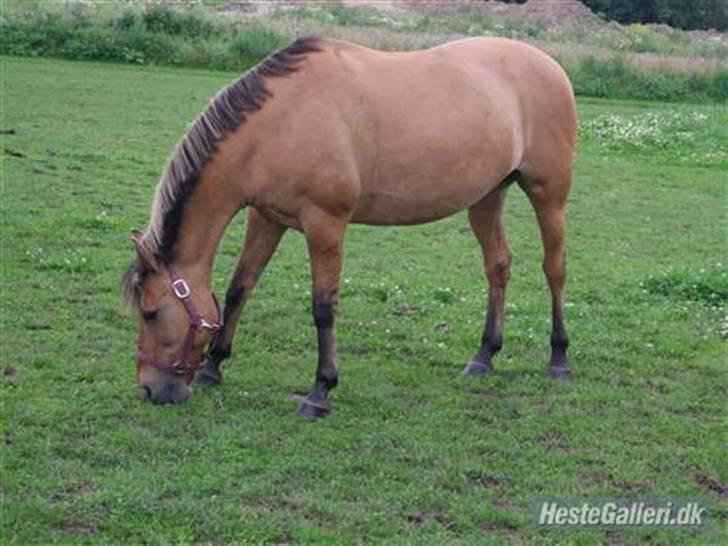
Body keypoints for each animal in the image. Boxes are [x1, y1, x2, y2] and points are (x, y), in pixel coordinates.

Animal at [123, 37, 577, 416]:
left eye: (150, 312)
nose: (151, 389)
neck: (281, 122)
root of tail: (550, 65)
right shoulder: (266, 217)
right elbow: (240, 288)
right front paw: (213, 366)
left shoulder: (325, 224)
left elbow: (323, 308)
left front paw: (320, 391)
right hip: (485, 198)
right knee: (498, 266)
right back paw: (484, 355)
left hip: (549, 196)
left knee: (554, 270)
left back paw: (558, 359)